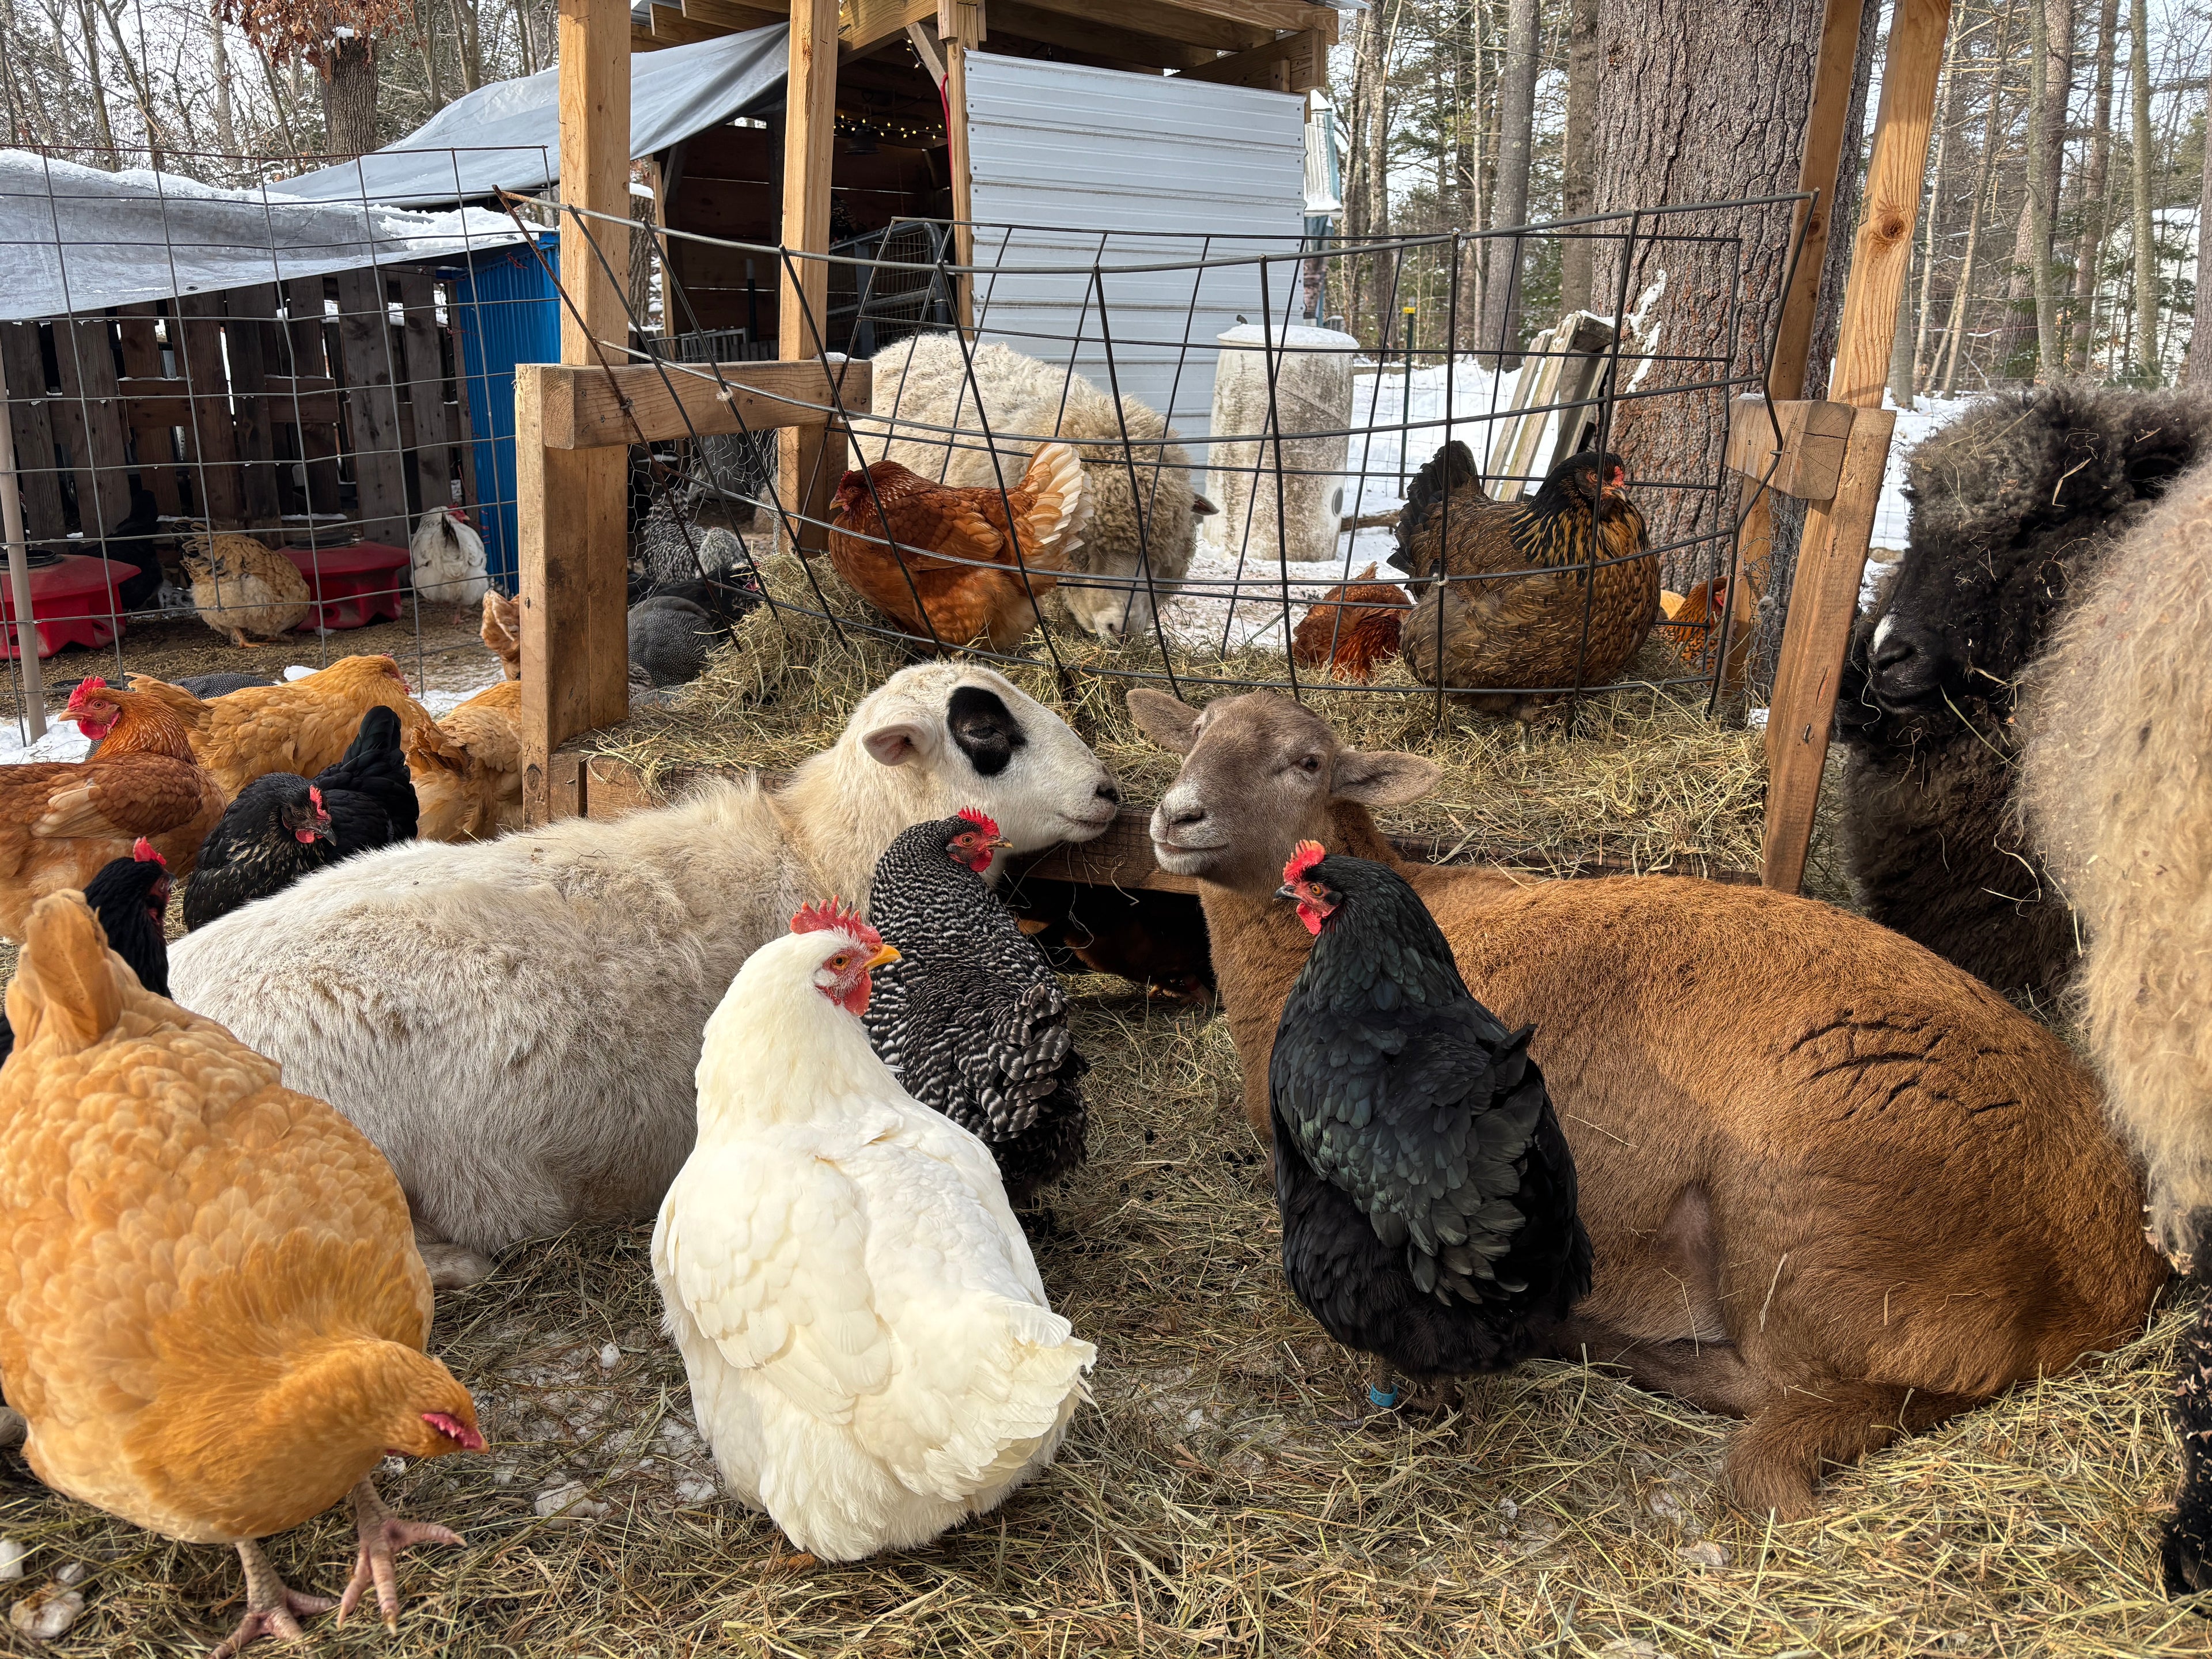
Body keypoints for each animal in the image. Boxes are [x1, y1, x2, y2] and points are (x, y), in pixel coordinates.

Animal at [1129, 685, 2164, 1519]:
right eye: (1196, 738)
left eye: (1306, 762)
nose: (1178, 816)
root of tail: (2100, 1278)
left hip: (1802, 1220)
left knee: (1765, 1387)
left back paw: (1594, 1338)